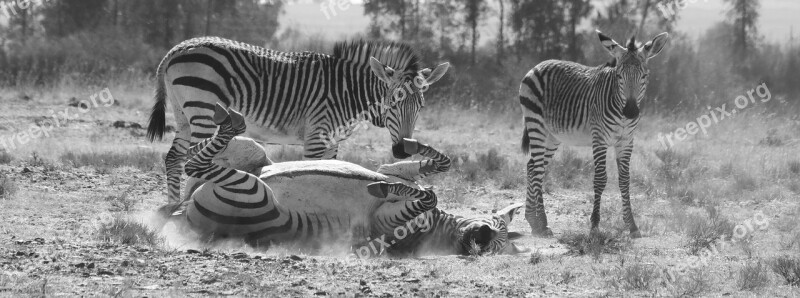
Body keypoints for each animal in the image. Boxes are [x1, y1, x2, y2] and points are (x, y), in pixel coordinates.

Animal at [145, 36, 450, 205]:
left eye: (421, 106)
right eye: (392, 103)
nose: (402, 151)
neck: (348, 92)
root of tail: (178, 48)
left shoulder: (332, 141)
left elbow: (333, 168)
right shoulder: (318, 135)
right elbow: (315, 170)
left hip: (184, 115)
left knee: (173, 157)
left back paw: (171, 204)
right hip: (204, 110)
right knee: (192, 156)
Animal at [167, 104, 532, 256]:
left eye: (494, 249)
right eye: (496, 227)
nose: (481, 237)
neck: (437, 227)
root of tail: (186, 218)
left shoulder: (384, 223)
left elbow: (429, 194)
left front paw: (383, 188)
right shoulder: (393, 169)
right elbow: (439, 166)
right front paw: (411, 146)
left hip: (255, 193)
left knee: (198, 165)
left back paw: (229, 121)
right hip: (254, 158)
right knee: (197, 163)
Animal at [520, 30, 668, 237]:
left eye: (644, 76)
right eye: (619, 75)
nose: (631, 112)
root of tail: (539, 65)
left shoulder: (626, 141)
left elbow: (625, 180)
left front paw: (631, 226)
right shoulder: (599, 138)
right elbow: (600, 179)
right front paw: (595, 224)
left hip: (552, 135)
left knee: (532, 166)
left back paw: (532, 221)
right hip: (536, 124)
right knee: (538, 169)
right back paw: (542, 223)